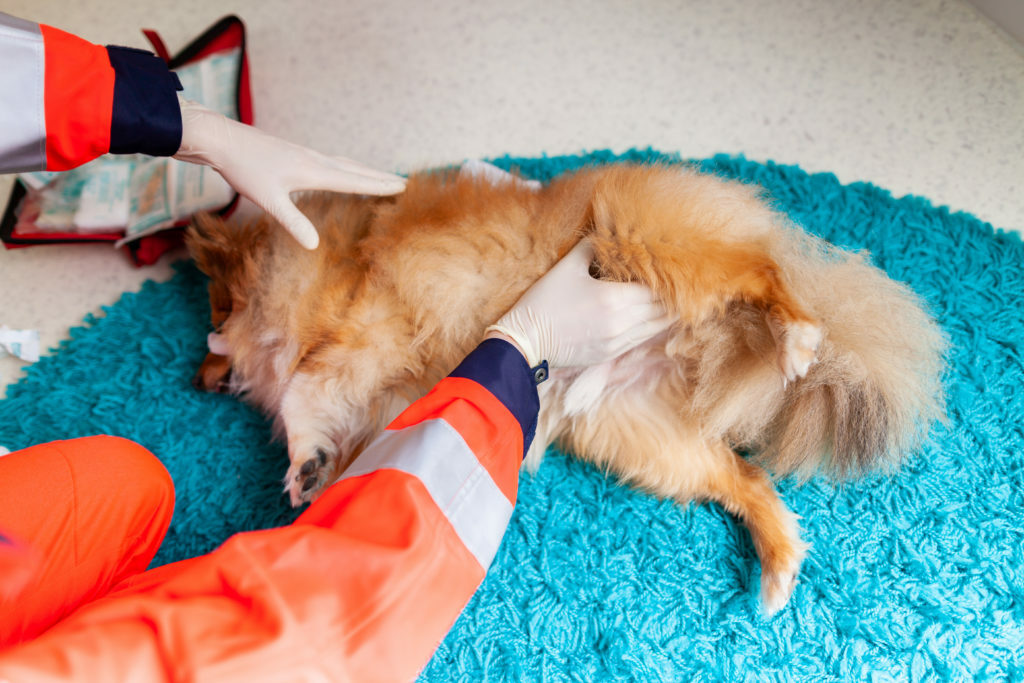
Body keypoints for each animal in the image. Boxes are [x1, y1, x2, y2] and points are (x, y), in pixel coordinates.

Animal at [186, 162, 942, 618]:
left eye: (214, 307)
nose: (196, 376)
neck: (317, 263)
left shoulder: (365, 324)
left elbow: (303, 389)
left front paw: (302, 456)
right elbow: (337, 421)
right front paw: (316, 470)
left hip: (651, 244)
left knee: (759, 274)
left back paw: (794, 334)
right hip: (647, 441)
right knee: (749, 479)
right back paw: (780, 565)